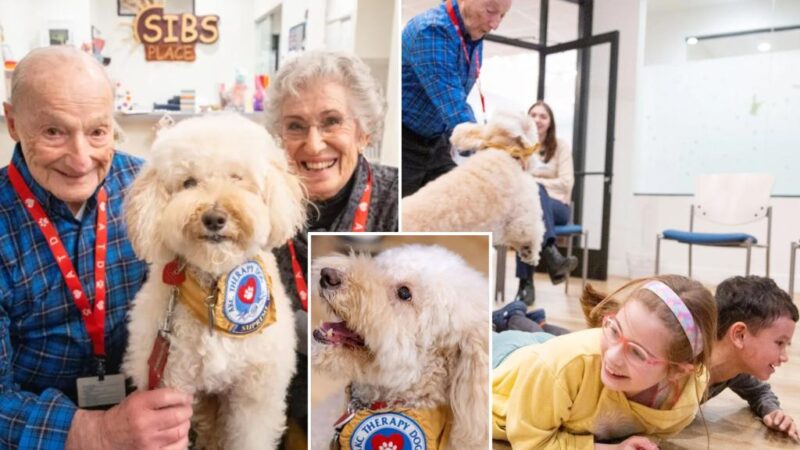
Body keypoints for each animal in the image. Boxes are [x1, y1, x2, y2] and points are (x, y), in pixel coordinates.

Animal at [122, 114, 306, 448]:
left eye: (237, 178)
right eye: (189, 183)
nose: (214, 218)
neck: (214, 294)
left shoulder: (255, 397)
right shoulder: (171, 389)